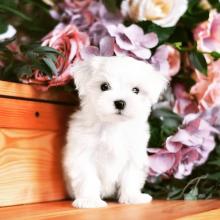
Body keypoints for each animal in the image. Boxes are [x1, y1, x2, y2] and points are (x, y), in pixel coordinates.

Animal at [62, 56, 168, 208]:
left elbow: (130, 177)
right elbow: (87, 178)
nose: (120, 103)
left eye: (136, 90)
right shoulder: (82, 154)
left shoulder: (134, 155)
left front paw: (132, 197)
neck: (113, 125)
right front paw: (89, 200)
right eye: (104, 86)